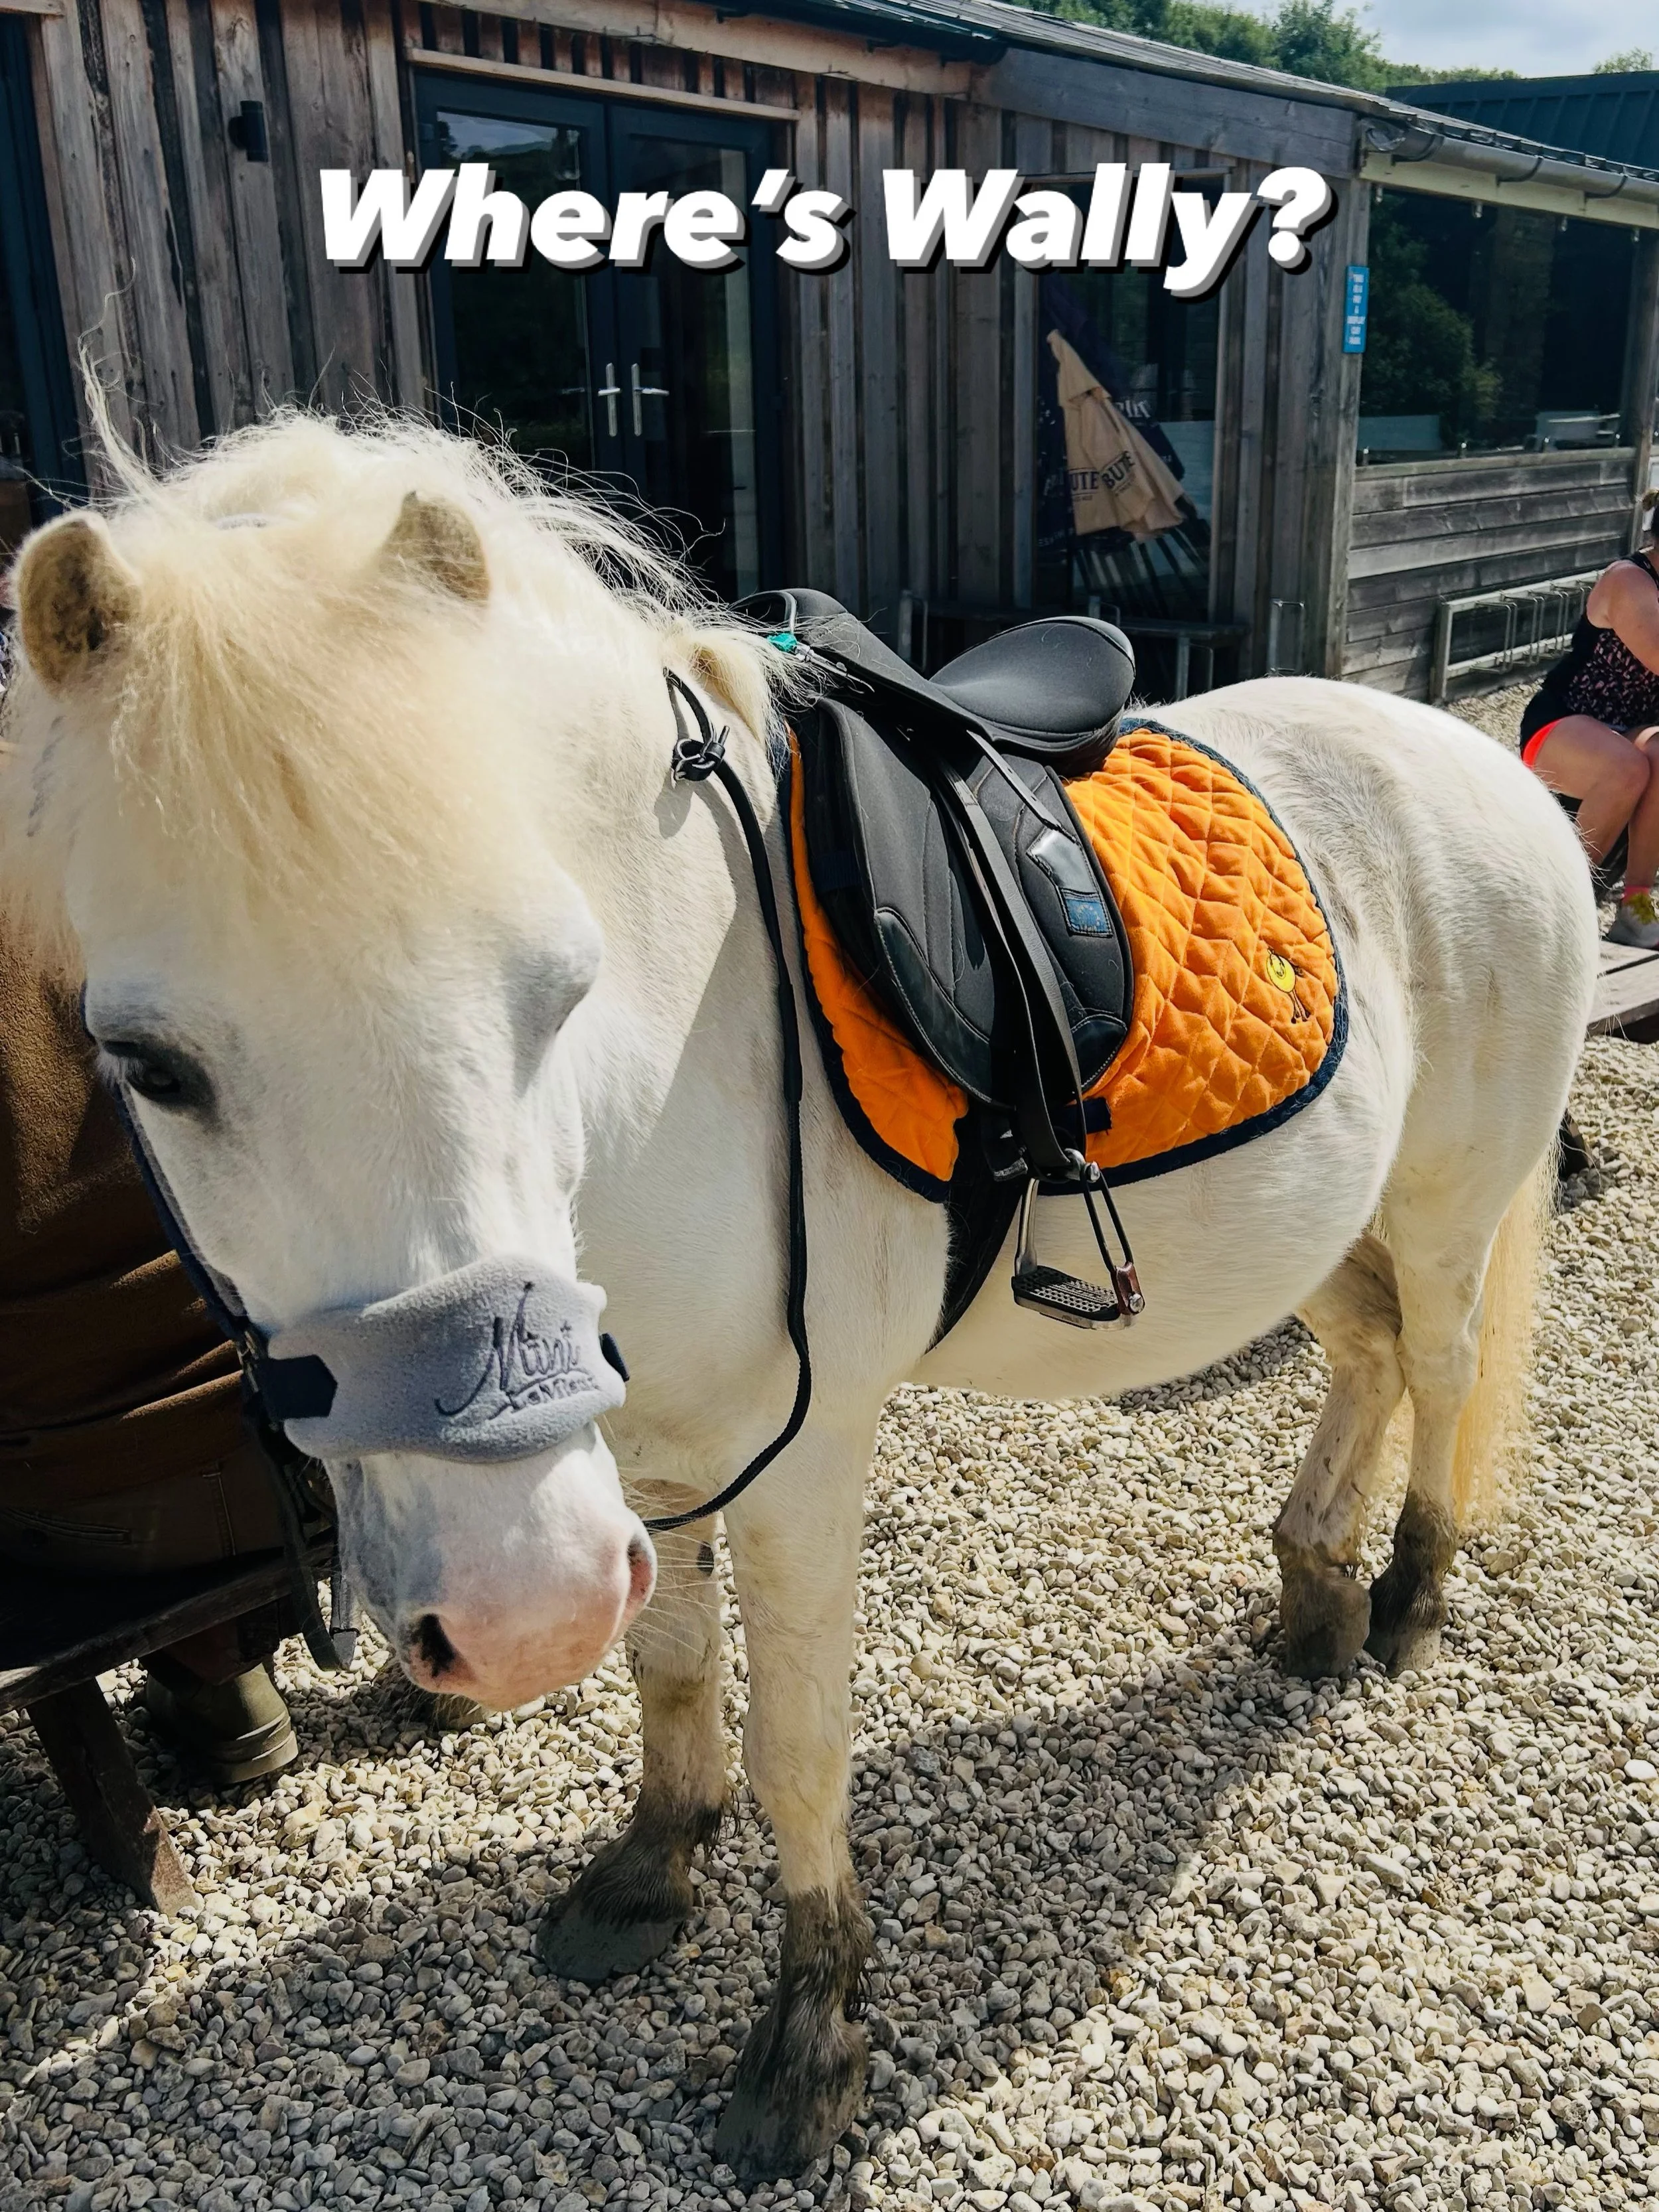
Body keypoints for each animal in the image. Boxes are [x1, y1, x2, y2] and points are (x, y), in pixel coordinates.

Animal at [0, 413, 1598, 2180]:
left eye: (558, 989)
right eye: (146, 1063)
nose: (512, 1611)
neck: (663, 1076)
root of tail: (1475, 759)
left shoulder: (800, 1461)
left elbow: (799, 1749)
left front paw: (811, 2038)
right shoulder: (640, 1457)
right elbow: (670, 1669)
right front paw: (650, 1871)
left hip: (1445, 1204)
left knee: (1439, 1364)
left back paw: (1405, 1603)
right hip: (1306, 1236)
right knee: (1368, 1358)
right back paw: (1313, 1592)